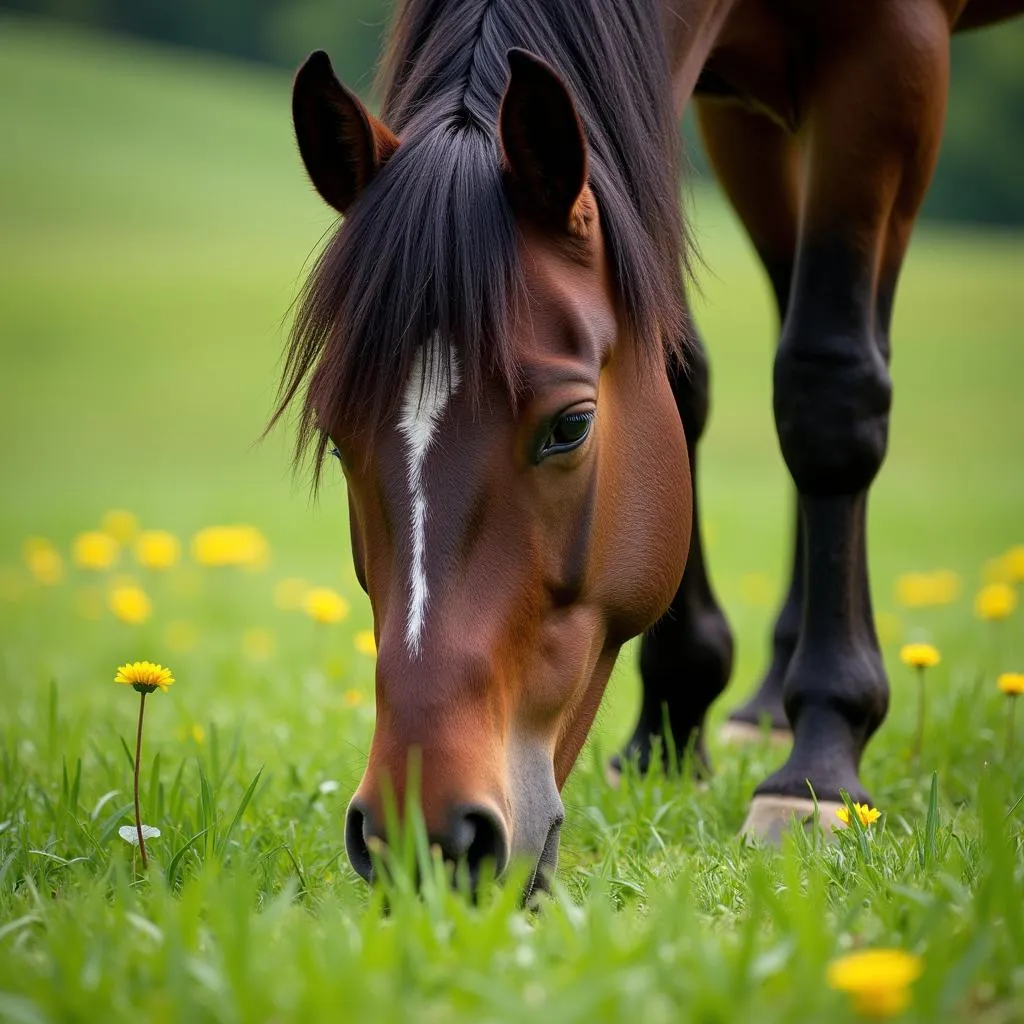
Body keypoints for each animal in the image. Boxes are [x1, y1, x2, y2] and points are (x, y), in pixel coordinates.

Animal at [274, 0, 1024, 888]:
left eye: (570, 426)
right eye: (336, 437)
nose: (425, 838)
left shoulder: (894, 56)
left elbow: (829, 389)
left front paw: (819, 769)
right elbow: (678, 375)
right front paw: (670, 722)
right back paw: (767, 701)